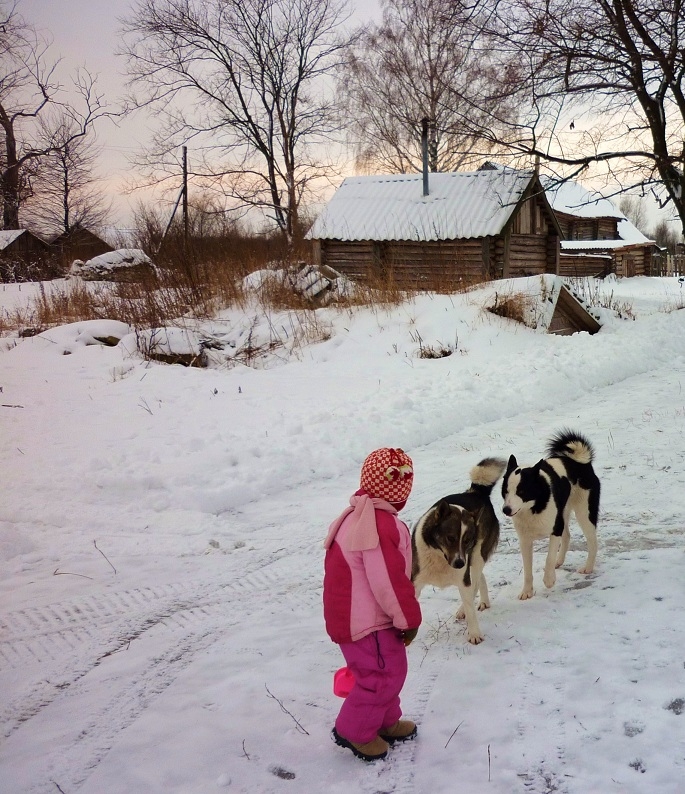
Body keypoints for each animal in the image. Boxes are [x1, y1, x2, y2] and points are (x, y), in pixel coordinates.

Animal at [408, 458, 504, 644]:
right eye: (450, 538)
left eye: (467, 540)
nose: (459, 563)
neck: (440, 557)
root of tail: (476, 493)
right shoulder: (415, 582)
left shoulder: (464, 576)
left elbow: (470, 603)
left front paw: (474, 634)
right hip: (472, 560)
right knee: (479, 578)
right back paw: (483, 602)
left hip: (477, 556)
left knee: (475, 581)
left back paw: (464, 609)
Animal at [500, 430, 600, 596]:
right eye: (505, 491)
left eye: (521, 491)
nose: (506, 510)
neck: (534, 508)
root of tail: (580, 461)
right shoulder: (525, 540)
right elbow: (527, 570)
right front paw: (527, 591)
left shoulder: (555, 529)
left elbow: (549, 557)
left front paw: (548, 580)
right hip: (563, 512)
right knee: (567, 536)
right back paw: (559, 562)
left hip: (584, 512)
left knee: (592, 541)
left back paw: (588, 567)